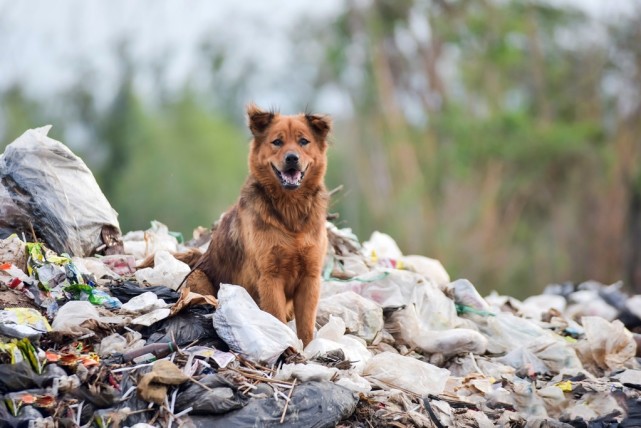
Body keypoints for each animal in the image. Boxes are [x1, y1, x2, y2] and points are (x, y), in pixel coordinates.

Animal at [184, 104, 328, 348]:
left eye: (303, 141)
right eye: (277, 142)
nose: (292, 158)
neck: (290, 212)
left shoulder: (310, 277)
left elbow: (306, 325)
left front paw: (309, 350)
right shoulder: (270, 277)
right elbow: (276, 317)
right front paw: (285, 346)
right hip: (198, 279)